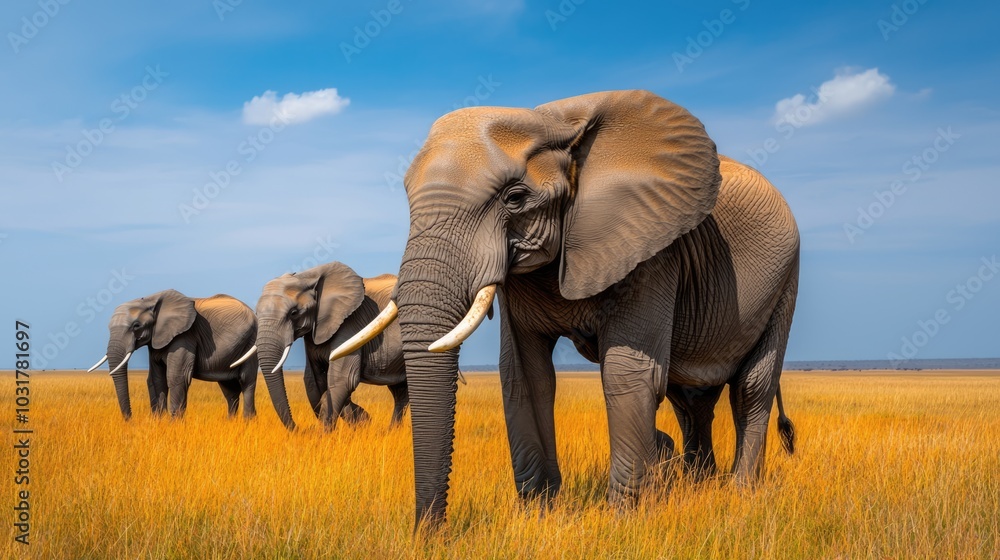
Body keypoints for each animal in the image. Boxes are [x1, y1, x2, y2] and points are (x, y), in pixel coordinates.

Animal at [86, 290, 258, 420]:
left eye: (136, 326)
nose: (130, 420)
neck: (150, 300)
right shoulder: (156, 339)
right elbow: (156, 379)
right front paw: (159, 421)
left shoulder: (185, 336)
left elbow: (177, 377)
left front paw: (174, 423)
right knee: (229, 389)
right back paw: (231, 422)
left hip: (251, 341)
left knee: (246, 380)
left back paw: (247, 421)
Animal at [254, 262, 408, 431]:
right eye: (256, 313)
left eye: (294, 313)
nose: (300, 429)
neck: (307, 276)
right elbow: (313, 382)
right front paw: (363, 421)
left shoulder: (350, 322)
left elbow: (343, 380)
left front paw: (327, 433)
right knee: (400, 391)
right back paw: (392, 430)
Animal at [331, 89, 799, 527]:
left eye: (515, 198)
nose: (431, 534)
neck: (552, 122)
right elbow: (523, 376)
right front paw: (539, 514)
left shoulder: (652, 249)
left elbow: (628, 374)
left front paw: (621, 522)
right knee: (690, 400)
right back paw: (699, 485)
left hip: (786, 280)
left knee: (751, 387)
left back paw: (739, 494)